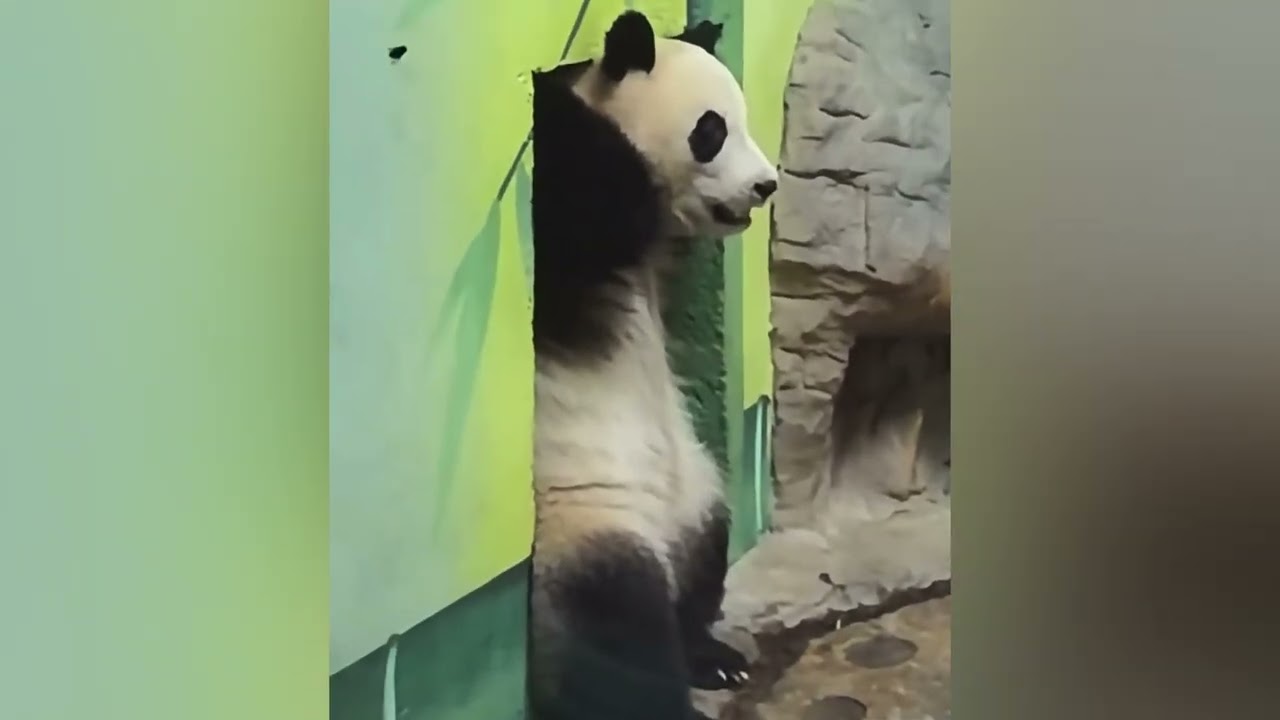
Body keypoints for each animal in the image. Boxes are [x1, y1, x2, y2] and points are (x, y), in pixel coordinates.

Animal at [527, 10, 778, 720]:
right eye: (712, 131)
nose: (765, 186)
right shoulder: (572, 252)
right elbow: (588, 190)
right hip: (583, 516)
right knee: (618, 619)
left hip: (693, 485)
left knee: (704, 549)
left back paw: (711, 656)